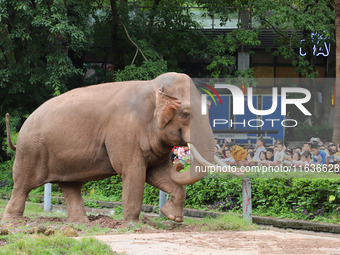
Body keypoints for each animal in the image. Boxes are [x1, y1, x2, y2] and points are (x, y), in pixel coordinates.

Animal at [2, 72, 238, 223]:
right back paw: (13, 222)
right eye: (186, 114)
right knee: (22, 184)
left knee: (70, 186)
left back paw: (81, 223)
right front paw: (133, 224)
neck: (152, 88)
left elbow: (157, 174)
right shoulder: (124, 133)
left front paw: (173, 217)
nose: (180, 163)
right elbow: (134, 172)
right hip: (32, 150)